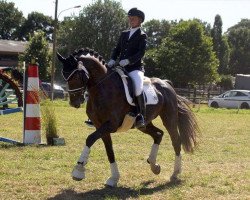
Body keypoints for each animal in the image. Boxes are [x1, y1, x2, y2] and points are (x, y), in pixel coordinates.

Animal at [57, 48, 199, 188]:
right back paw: (154, 166)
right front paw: (114, 178)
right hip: (144, 124)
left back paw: (175, 173)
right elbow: (109, 151)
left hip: (169, 118)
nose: (74, 102)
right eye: (64, 76)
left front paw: (78, 171)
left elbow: (90, 139)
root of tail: (166, 83)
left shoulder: (111, 125)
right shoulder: (100, 126)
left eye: (76, 75)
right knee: (158, 134)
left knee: (176, 141)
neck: (102, 88)